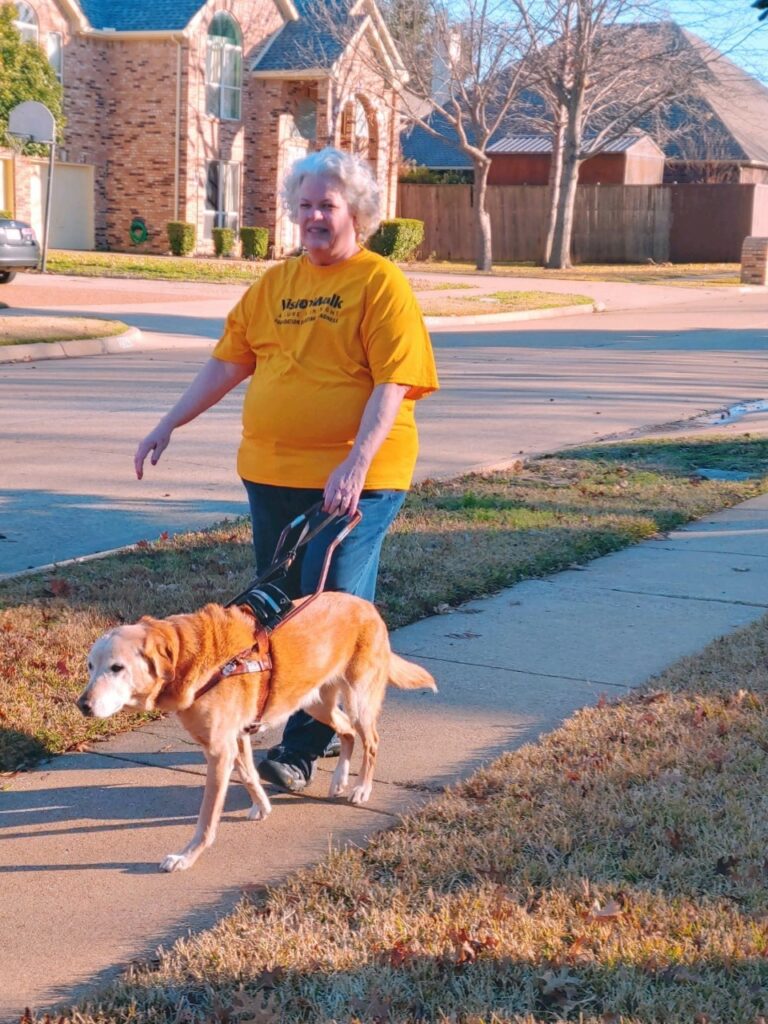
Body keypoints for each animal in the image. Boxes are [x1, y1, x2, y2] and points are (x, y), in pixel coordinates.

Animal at [79, 593, 438, 872]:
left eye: (117, 668)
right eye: (90, 666)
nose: (82, 704)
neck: (190, 657)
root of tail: (367, 605)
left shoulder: (219, 751)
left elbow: (207, 819)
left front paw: (187, 856)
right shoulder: (236, 739)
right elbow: (250, 775)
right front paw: (262, 806)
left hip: (358, 700)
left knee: (371, 740)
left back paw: (362, 788)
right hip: (313, 703)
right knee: (347, 733)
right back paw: (339, 780)